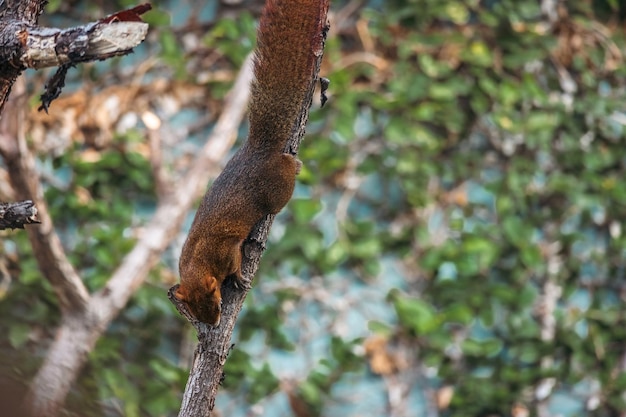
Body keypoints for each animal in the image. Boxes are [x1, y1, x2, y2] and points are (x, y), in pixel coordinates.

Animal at [173, 0, 330, 324]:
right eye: (196, 314)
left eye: (216, 302)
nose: (214, 323)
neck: (198, 263)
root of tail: (257, 151)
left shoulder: (226, 250)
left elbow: (234, 263)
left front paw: (238, 278)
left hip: (278, 192)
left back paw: (295, 165)